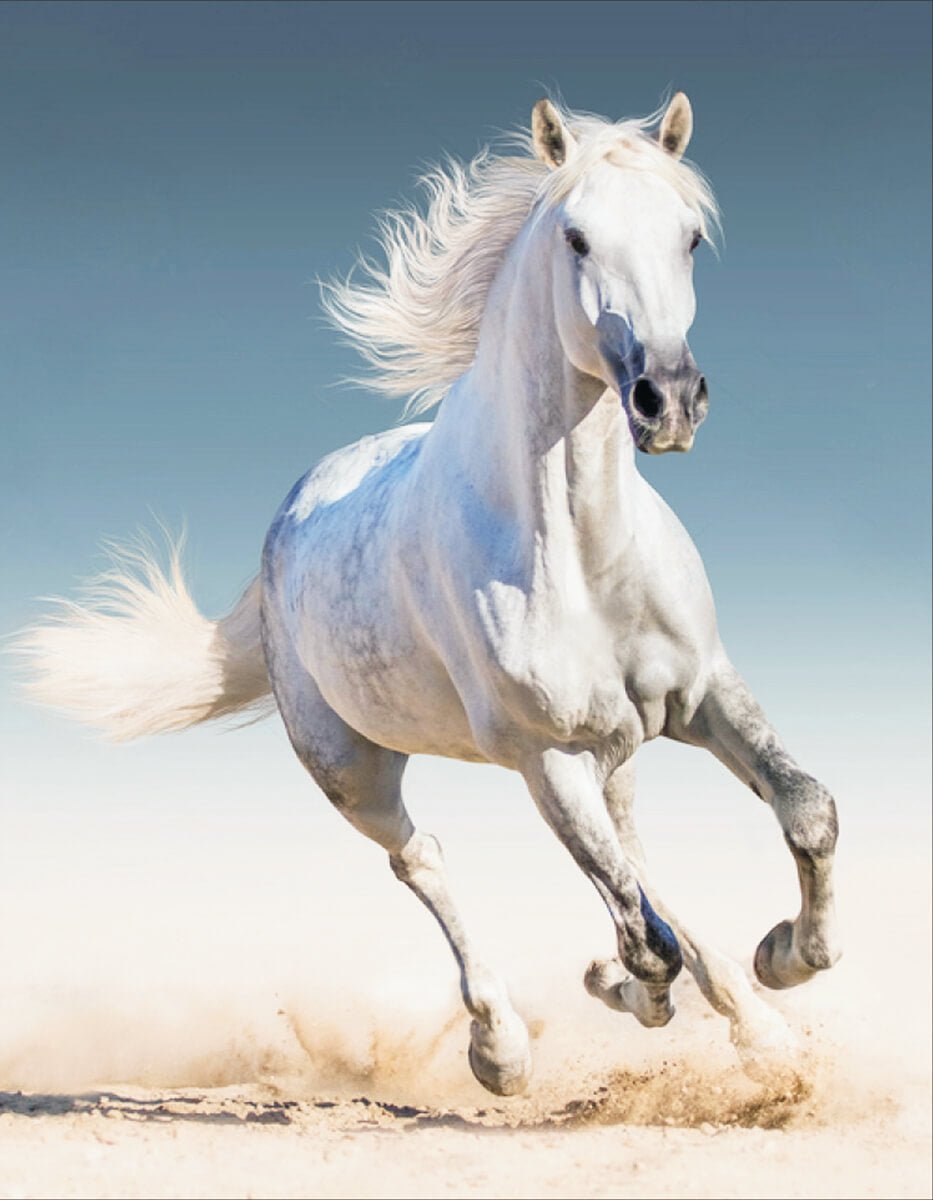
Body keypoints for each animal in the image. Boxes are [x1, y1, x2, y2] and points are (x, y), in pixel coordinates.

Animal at [17, 94, 841, 1097]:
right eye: (575, 237)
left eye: (688, 237)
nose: (667, 401)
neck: (581, 552)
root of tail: (289, 518)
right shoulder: (544, 756)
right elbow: (643, 937)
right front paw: (635, 992)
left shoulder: (701, 693)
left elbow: (803, 812)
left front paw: (783, 958)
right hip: (355, 772)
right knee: (426, 862)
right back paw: (502, 1048)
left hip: (615, 750)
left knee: (632, 858)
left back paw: (756, 1027)